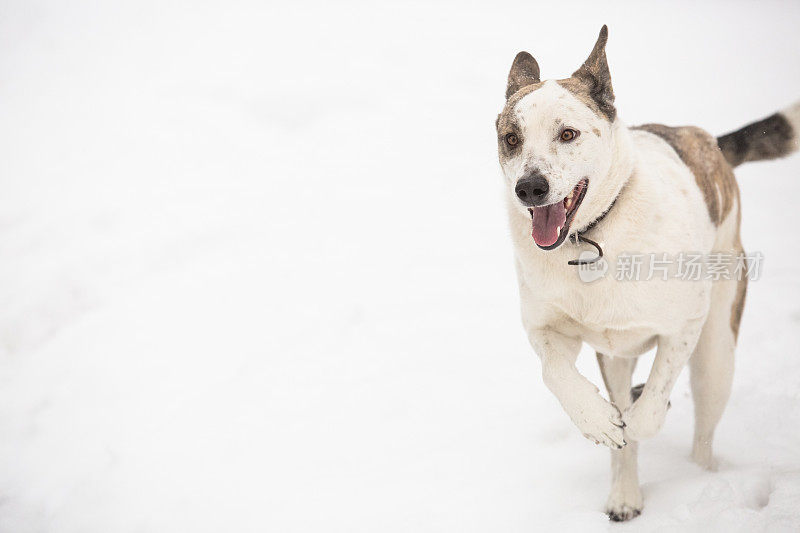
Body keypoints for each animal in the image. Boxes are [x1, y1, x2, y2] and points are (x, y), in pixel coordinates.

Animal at [496, 25, 796, 520]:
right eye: (511, 138)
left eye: (568, 133)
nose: (530, 188)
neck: (593, 236)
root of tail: (708, 143)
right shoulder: (545, 327)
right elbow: (555, 373)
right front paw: (598, 420)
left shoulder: (687, 323)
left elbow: (653, 400)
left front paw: (638, 420)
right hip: (616, 357)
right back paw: (624, 494)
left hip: (717, 349)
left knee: (704, 426)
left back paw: (699, 477)